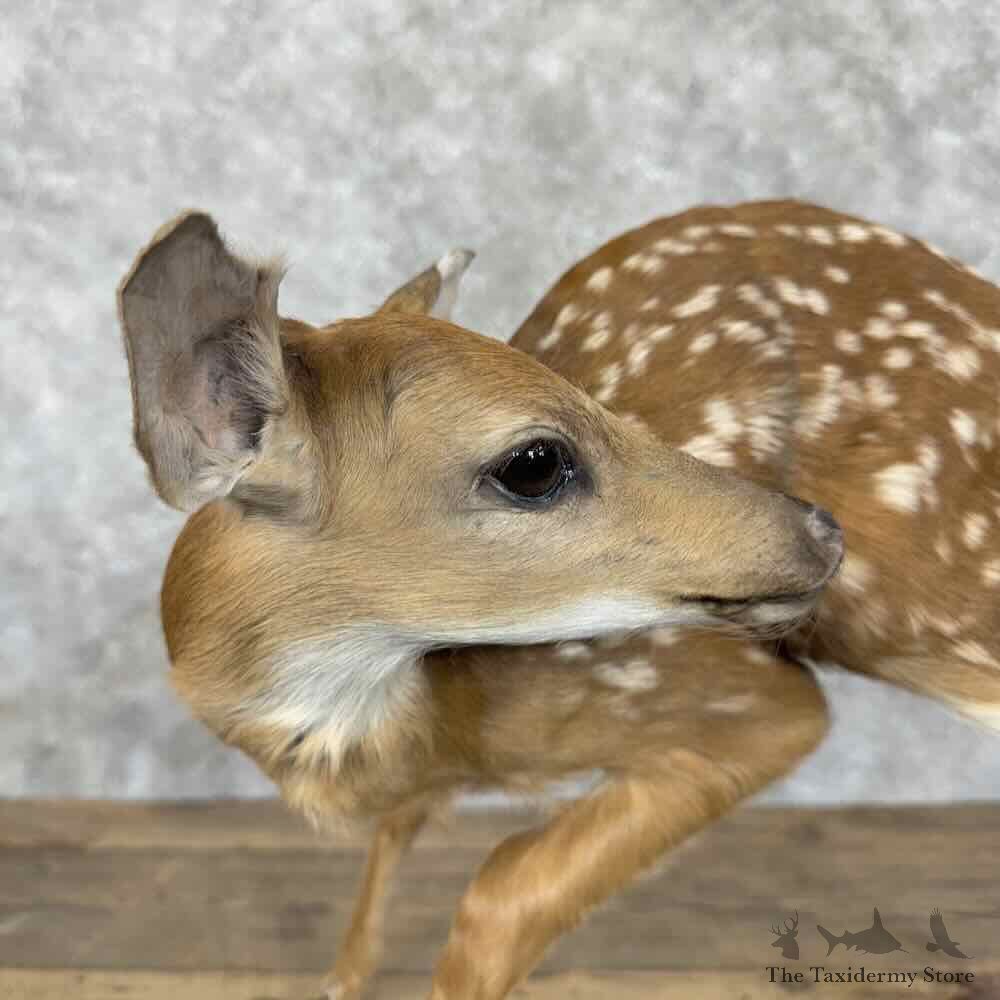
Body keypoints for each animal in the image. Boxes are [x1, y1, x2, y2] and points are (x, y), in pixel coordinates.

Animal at [117, 198, 1000, 999]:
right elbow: (391, 864)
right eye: (535, 462)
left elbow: (501, 887)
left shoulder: (739, 697)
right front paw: (342, 977)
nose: (822, 529)